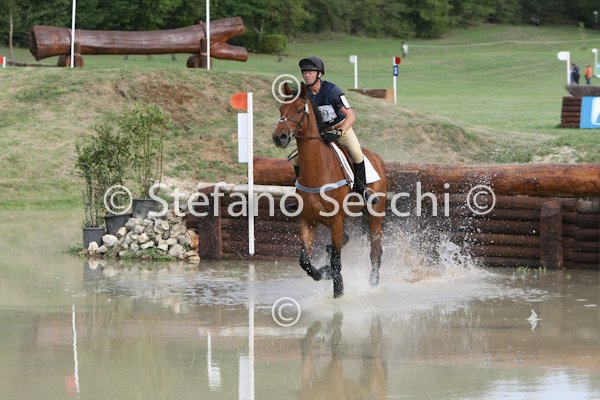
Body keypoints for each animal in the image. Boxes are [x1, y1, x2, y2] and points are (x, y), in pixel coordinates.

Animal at [272, 82, 388, 298]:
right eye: (281, 110)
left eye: (299, 110)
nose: (279, 137)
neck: (317, 170)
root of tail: (377, 159)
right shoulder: (308, 221)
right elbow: (305, 261)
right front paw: (322, 273)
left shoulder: (335, 221)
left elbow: (336, 261)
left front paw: (338, 290)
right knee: (345, 240)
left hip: (374, 216)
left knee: (375, 252)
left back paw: (373, 284)